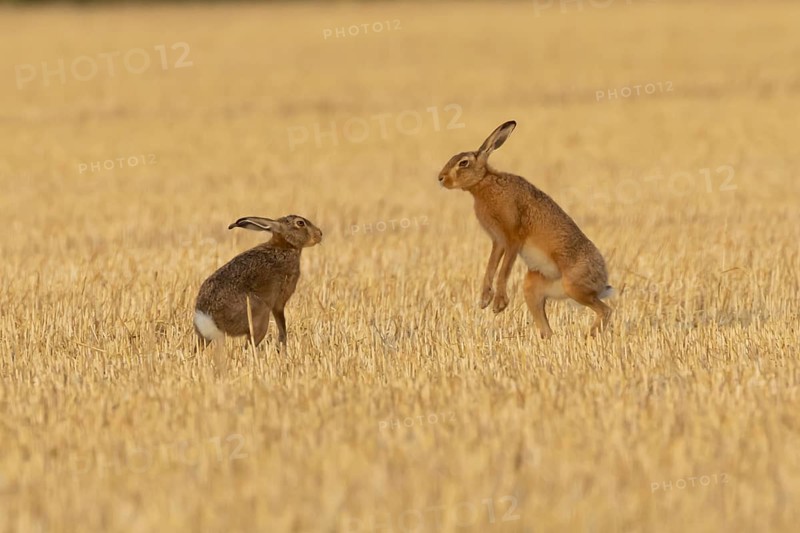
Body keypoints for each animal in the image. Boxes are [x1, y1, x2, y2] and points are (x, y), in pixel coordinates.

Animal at [193, 215, 322, 349]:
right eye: (300, 223)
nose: (319, 234)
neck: (286, 246)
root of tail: (207, 319)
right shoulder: (279, 302)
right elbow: (281, 324)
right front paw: (282, 345)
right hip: (260, 316)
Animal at [437, 120, 613, 338]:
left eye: (463, 163)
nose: (441, 178)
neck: (484, 183)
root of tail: (602, 281)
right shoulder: (498, 241)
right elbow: (491, 266)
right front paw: (485, 300)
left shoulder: (513, 237)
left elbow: (504, 268)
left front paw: (498, 304)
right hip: (534, 287)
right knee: (547, 327)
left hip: (575, 286)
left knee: (606, 310)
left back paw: (588, 336)